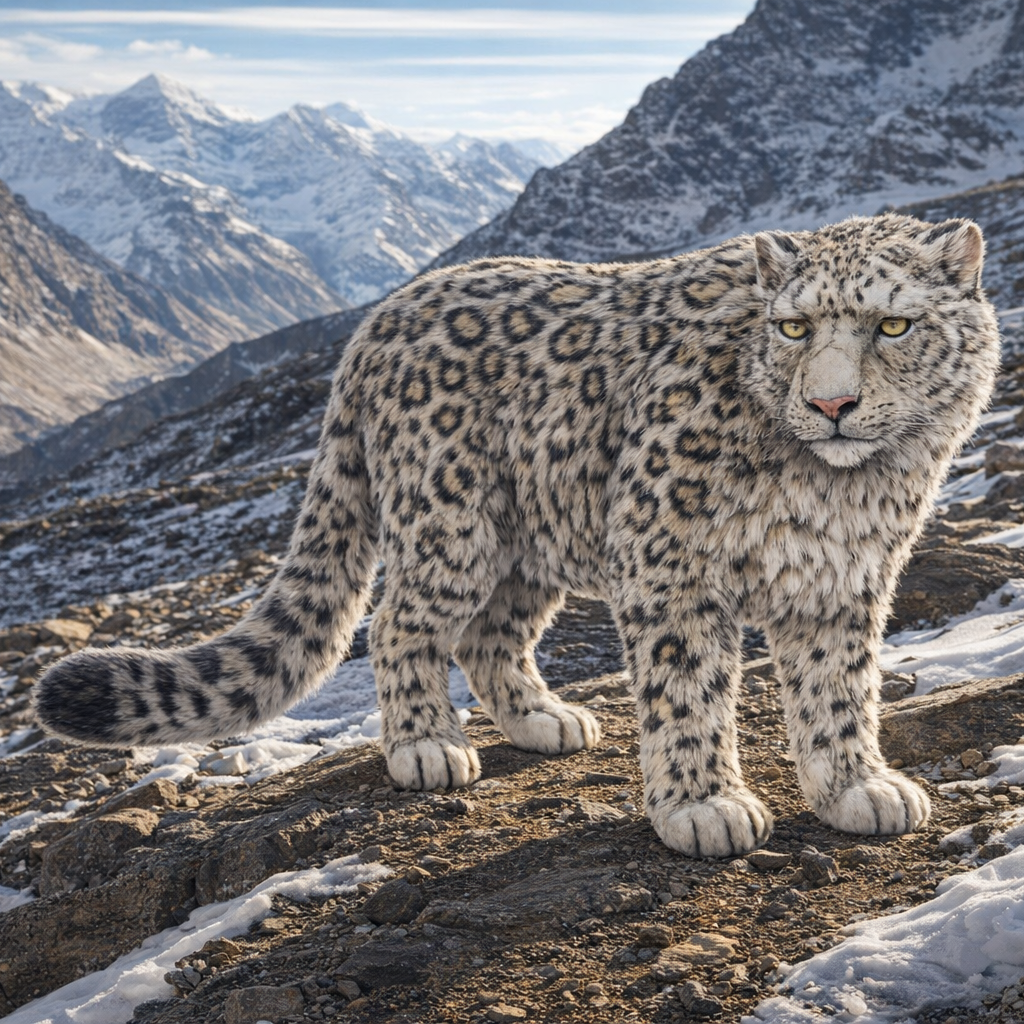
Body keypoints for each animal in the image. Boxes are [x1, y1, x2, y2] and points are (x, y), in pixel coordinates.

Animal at [34, 213, 1000, 858]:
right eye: (794, 326)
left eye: (894, 324)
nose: (831, 404)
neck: (843, 489)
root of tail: (375, 321)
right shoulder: (670, 559)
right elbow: (688, 688)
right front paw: (703, 806)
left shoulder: (846, 581)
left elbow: (842, 690)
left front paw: (859, 789)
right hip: (451, 520)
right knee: (401, 624)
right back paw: (428, 747)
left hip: (528, 539)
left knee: (490, 635)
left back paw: (546, 720)